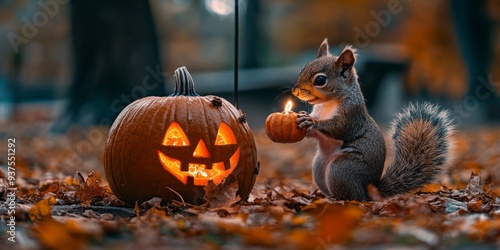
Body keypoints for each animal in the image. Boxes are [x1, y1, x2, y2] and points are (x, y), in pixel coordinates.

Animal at [292, 38, 454, 200]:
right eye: (302, 70)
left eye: (320, 80)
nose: (295, 91)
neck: (327, 104)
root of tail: (370, 190)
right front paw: (304, 120)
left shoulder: (352, 115)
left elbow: (339, 128)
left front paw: (313, 122)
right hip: (318, 167)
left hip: (341, 169)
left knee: (354, 196)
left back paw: (337, 199)